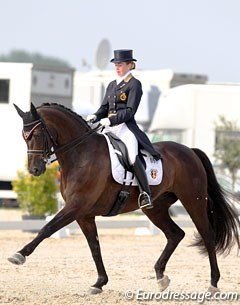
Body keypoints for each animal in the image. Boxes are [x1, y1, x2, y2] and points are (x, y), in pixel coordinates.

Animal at [8, 102, 239, 294]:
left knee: (207, 235)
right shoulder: (83, 214)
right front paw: (99, 283)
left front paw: (19, 255)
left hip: (194, 201)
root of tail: (189, 150)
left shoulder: (76, 206)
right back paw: (161, 277)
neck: (81, 154)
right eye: (24, 137)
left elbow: (47, 228)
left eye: (37, 135)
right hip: (155, 208)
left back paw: (213, 283)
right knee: (175, 234)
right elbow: (94, 246)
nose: (35, 170)